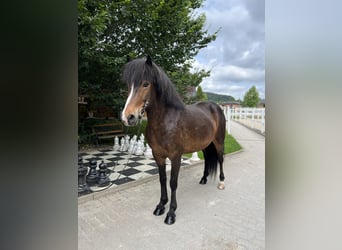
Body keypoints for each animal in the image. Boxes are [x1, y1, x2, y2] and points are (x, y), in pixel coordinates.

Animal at [121, 56, 226, 225]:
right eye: (128, 85)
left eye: (145, 84)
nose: (128, 117)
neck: (166, 120)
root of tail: (215, 107)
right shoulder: (158, 155)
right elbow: (162, 179)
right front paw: (160, 205)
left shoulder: (176, 157)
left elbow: (173, 182)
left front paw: (171, 213)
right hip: (205, 144)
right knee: (207, 159)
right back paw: (203, 179)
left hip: (219, 142)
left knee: (221, 159)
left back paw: (221, 182)